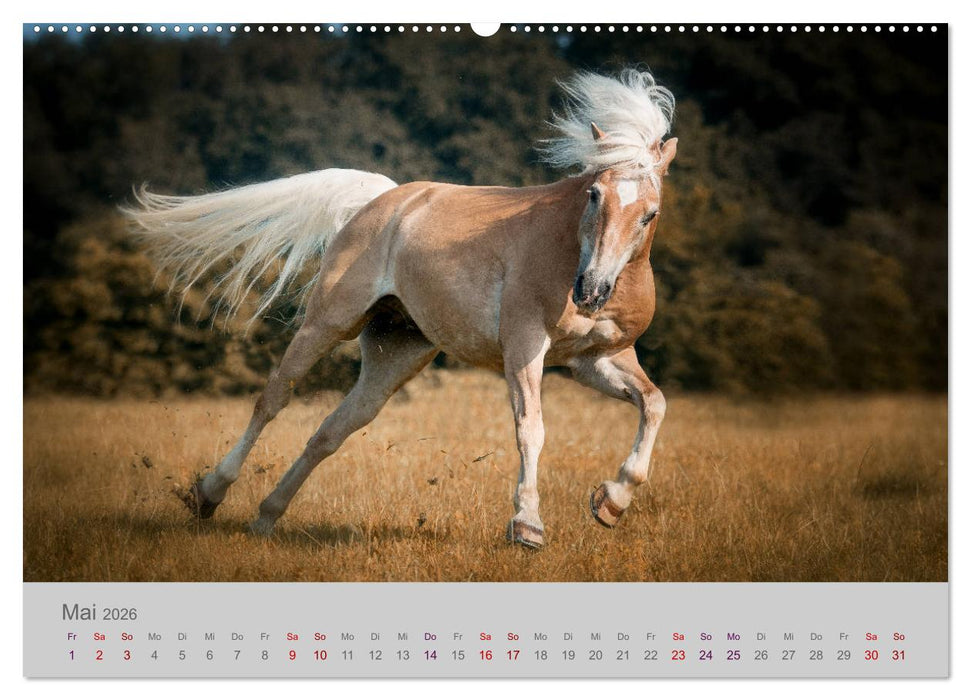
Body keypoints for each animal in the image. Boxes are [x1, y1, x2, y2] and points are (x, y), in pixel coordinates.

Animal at [124, 68, 678, 549]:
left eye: (649, 214)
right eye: (593, 194)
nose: (590, 291)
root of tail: (388, 199)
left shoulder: (593, 360)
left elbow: (654, 403)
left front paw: (611, 502)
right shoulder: (524, 346)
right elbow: (532, 429)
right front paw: (527, 526)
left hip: (396, 354)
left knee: (331, 431)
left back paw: (265, 519)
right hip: (329, 322)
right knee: (273, 399)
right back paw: (209, 493)